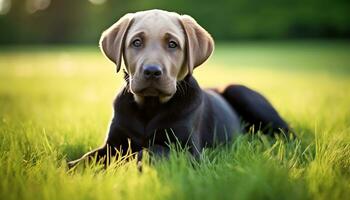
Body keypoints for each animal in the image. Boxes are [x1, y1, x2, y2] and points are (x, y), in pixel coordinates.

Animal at [67, 9, 288, 168]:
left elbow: (150, 150)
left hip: (240, 92)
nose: (152, 71)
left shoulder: (189, 152)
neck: (150, 106)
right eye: (136, 42)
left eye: (172, 44)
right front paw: (70, 167)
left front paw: (124, 164)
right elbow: (90, 156)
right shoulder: (113, 143)